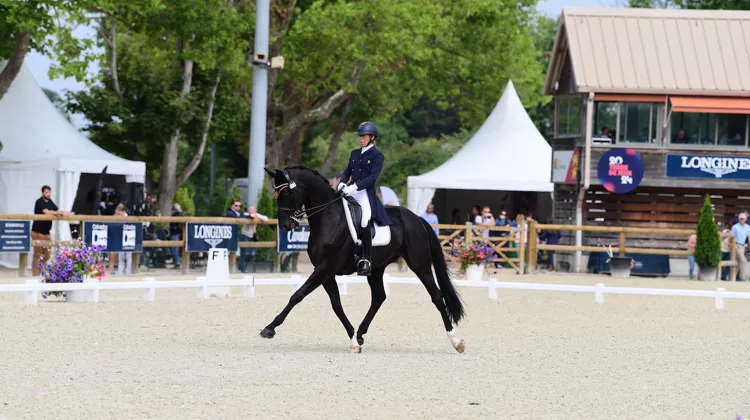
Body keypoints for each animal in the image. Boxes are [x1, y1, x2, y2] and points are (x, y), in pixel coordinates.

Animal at [259, 166, 466, 353]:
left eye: (286, 192)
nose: (285, 225)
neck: (329, 218)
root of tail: (417, 218)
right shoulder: (326, 272)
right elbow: (336, 305)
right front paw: (353, 339)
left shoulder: (324, 268)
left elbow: (297, 295)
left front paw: (269, 328)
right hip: (376, 269)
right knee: (379, 297)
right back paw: (360, 334)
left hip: (419, 265)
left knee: (436, 296)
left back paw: (456, 341)